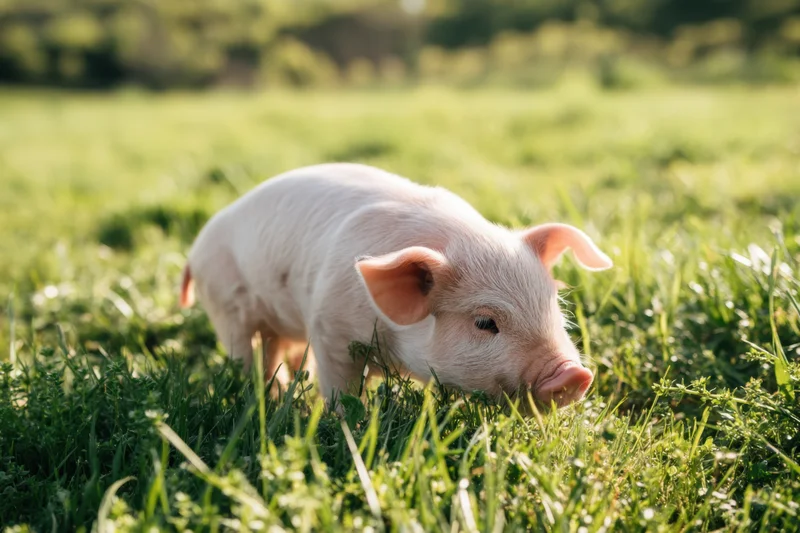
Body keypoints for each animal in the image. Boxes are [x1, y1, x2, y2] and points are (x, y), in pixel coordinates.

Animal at [180, 163, 612, 408]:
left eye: (553, 306)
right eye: (484, 323)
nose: (575, 375)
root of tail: (194, 249)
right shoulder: (329, 327)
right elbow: (339, 387)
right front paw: (342, 421)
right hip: (226, 306)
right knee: (245, 353)